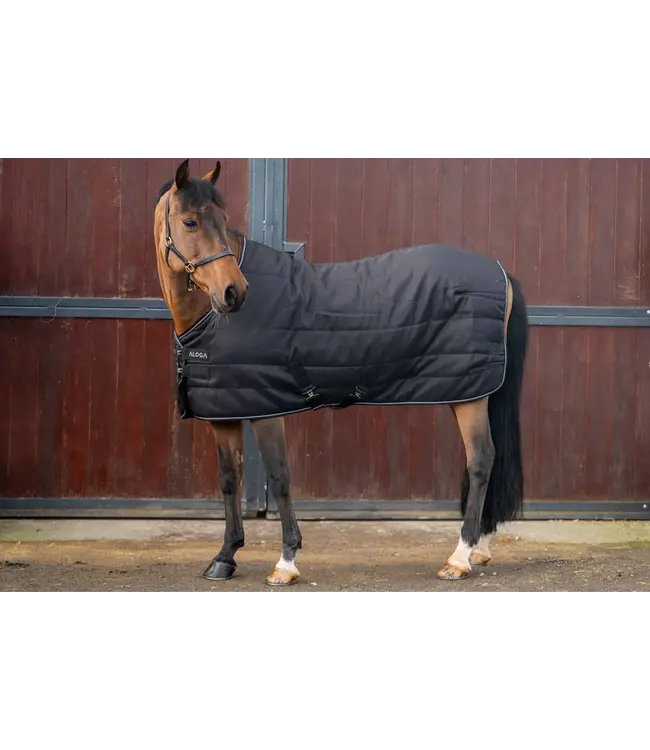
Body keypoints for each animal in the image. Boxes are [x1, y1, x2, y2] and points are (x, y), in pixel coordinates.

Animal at [153, 158, 530, 587]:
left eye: (223, 219)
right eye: (190, 222)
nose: (235, 292)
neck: (211, 319)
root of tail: (500, 272)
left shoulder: (267, 410)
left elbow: (279, 478)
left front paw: (286, 562)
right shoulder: (225, 412)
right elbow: (229, 479)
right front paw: (224, 557)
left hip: (471, 395)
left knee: (481, 461)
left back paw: (460, 558)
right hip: (471, 392)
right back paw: (479, 549)